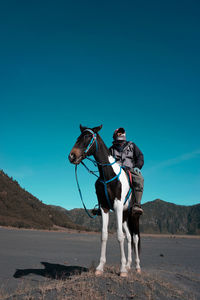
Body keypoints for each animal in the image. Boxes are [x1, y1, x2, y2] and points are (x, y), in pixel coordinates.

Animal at [68, 124, 141, 276]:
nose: (72, 156)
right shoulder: (104, 207)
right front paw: (100, 267)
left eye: (88, 137)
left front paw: (122, 270)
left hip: (133, 216)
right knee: (129, 237)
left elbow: (119, 236)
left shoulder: (117, 206)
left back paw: (137, 267)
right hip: (125, 216)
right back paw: (129, 265)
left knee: (135, 238)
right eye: (78, 137)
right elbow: (104, 235)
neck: (108, 175)